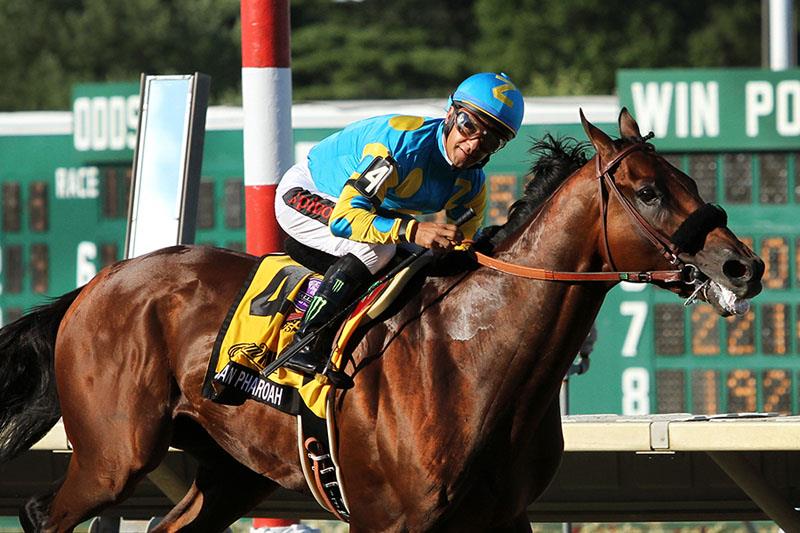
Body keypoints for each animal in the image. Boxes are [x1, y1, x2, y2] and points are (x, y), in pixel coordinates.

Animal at [0, 109, 763, 532]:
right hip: (114, 455)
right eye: (648, 191)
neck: (475, 357)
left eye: (692, 182)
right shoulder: (386, 519)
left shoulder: (502, 517)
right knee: (41, 513)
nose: (743, 266)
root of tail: (96, 284)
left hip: (231, 470)